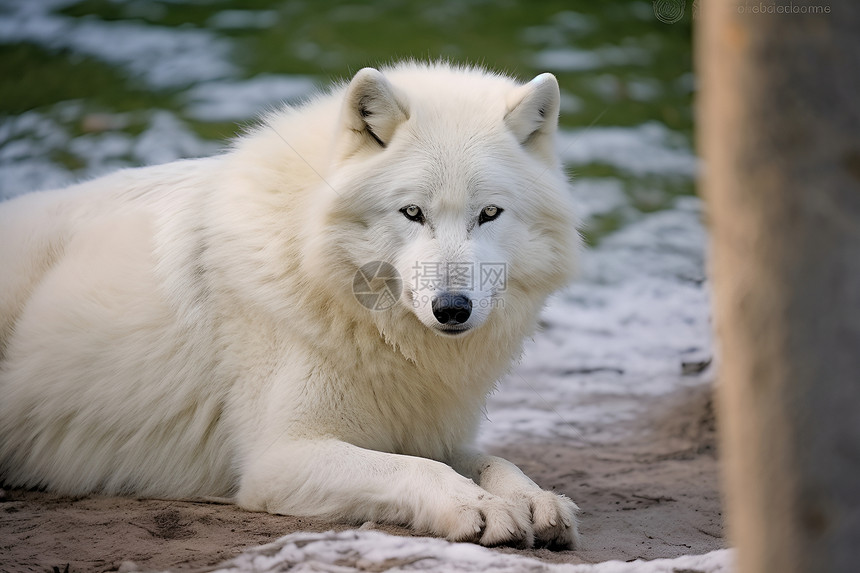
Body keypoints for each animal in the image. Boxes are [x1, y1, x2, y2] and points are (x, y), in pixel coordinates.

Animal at [0, 60, 580, 548]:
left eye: (489, 213)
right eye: (413, 212)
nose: (452, 308)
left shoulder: (425, 430)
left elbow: (494, 461)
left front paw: (534, 499)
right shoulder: (278, 459)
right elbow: (419, 469)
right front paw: (477, 507)